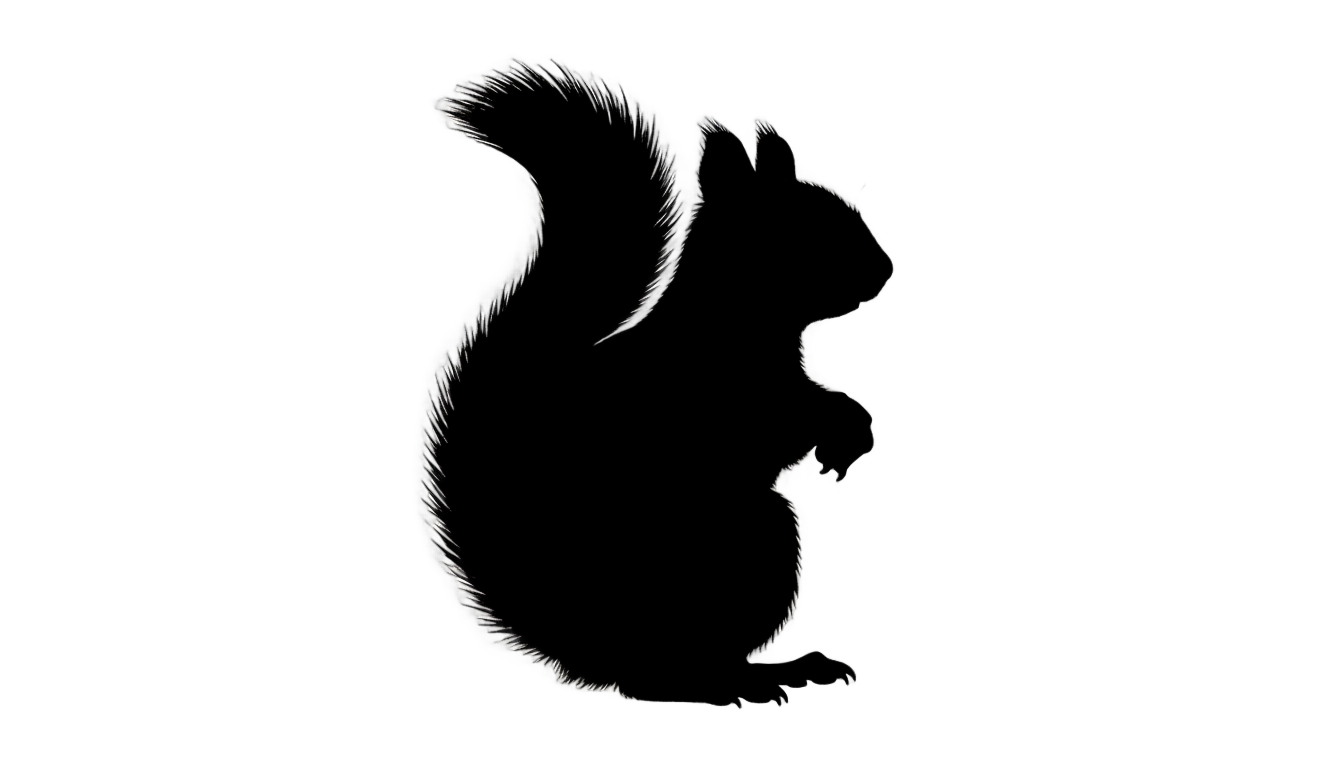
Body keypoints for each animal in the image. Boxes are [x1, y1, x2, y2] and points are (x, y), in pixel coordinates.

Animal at [423, 60, 893, 706]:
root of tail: (576, 644)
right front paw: (843, 432)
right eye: (808, 229)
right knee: (666, 676)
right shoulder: (725, 394)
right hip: (746, 542)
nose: (884, 270)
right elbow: (785, 422)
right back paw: (769, 676)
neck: (739, 319)